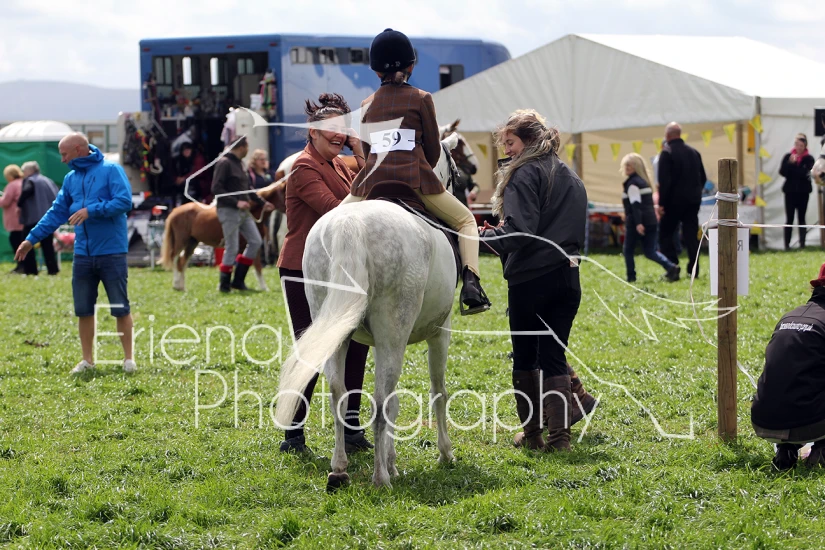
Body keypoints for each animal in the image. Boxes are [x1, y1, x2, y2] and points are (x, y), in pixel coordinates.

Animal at [274, 133, 462, 490]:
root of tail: (350, 224)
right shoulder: (440, 332)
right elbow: (438, 392)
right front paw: (444, 453)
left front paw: (393, 460)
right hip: (394, 333)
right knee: (381, 399)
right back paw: (380, 478)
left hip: (335, 331)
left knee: (339, 394)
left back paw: (340, 468)